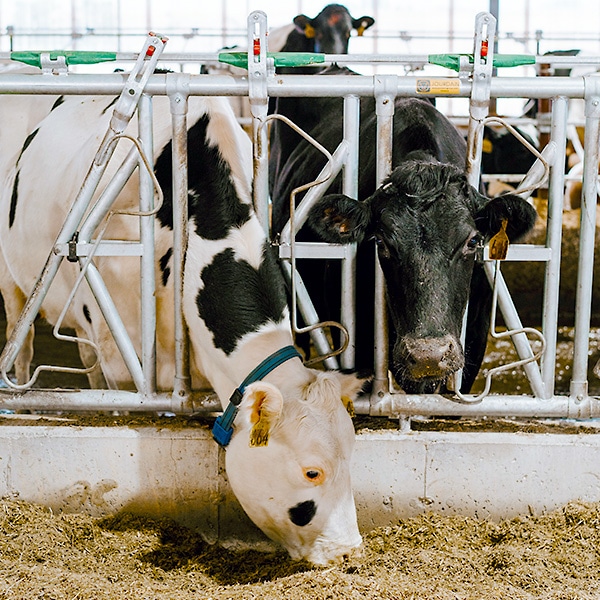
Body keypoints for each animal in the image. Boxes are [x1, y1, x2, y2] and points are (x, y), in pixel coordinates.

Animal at [0, 74, 364, 564]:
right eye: (312, 472)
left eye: (352, 458)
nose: (349, 550)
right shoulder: (122, 347)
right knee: (22, 345)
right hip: (15, 284)